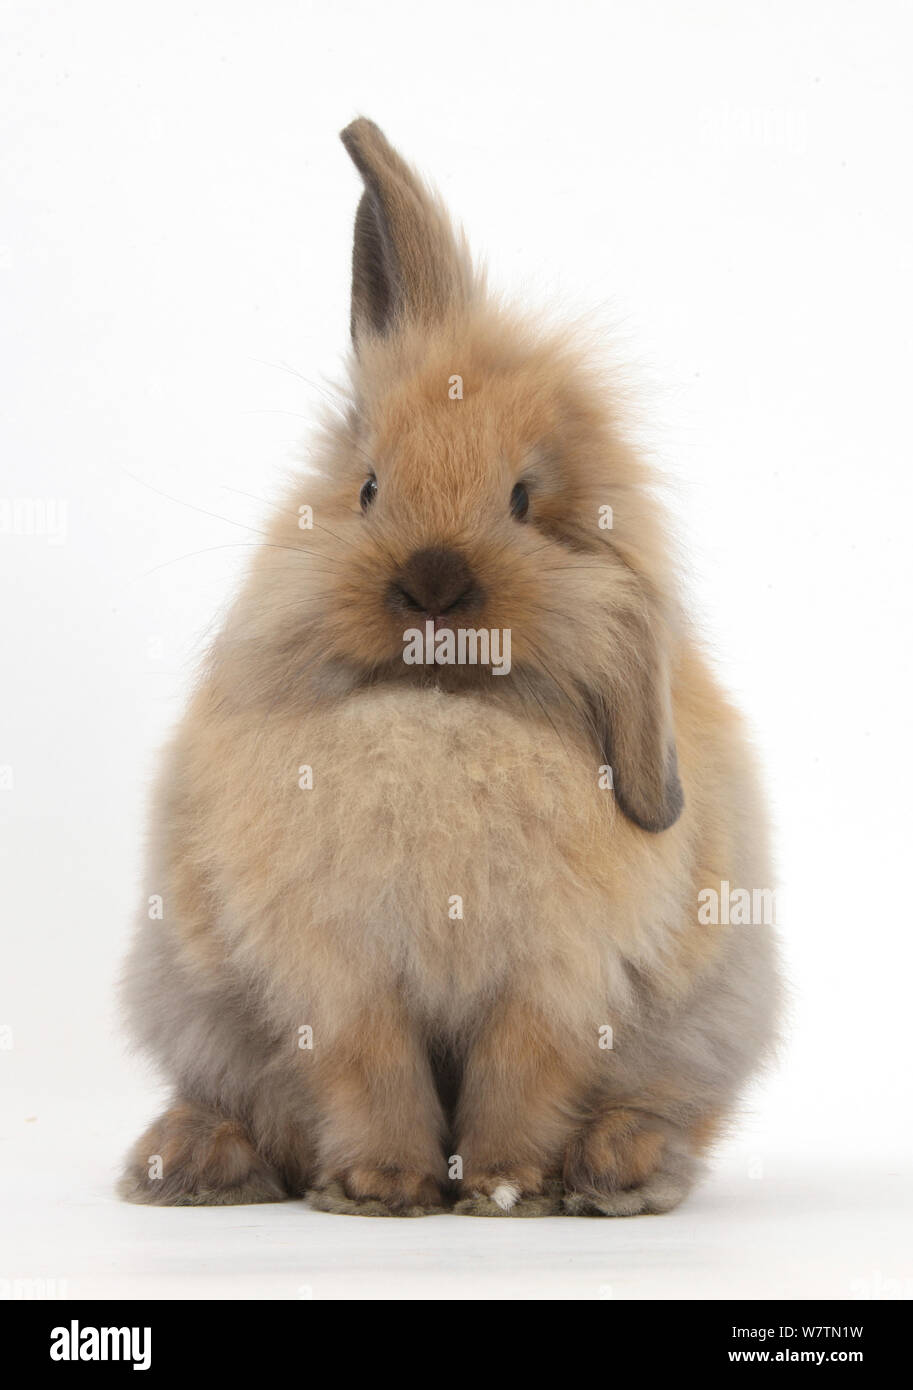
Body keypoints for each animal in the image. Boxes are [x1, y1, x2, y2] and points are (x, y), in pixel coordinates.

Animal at [120, 117, 780, 1217]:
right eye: (367, 487)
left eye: (522, 499)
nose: (432, 580)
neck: (438, 706)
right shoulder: (341, 978)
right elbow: (371, 1074)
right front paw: (382, 1187)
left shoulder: (554, 980)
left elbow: (522, 1076)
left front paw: (507, 1186)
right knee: (244, 1106)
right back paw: (187, 1161)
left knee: (667, 1108)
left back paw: (617, 1169)